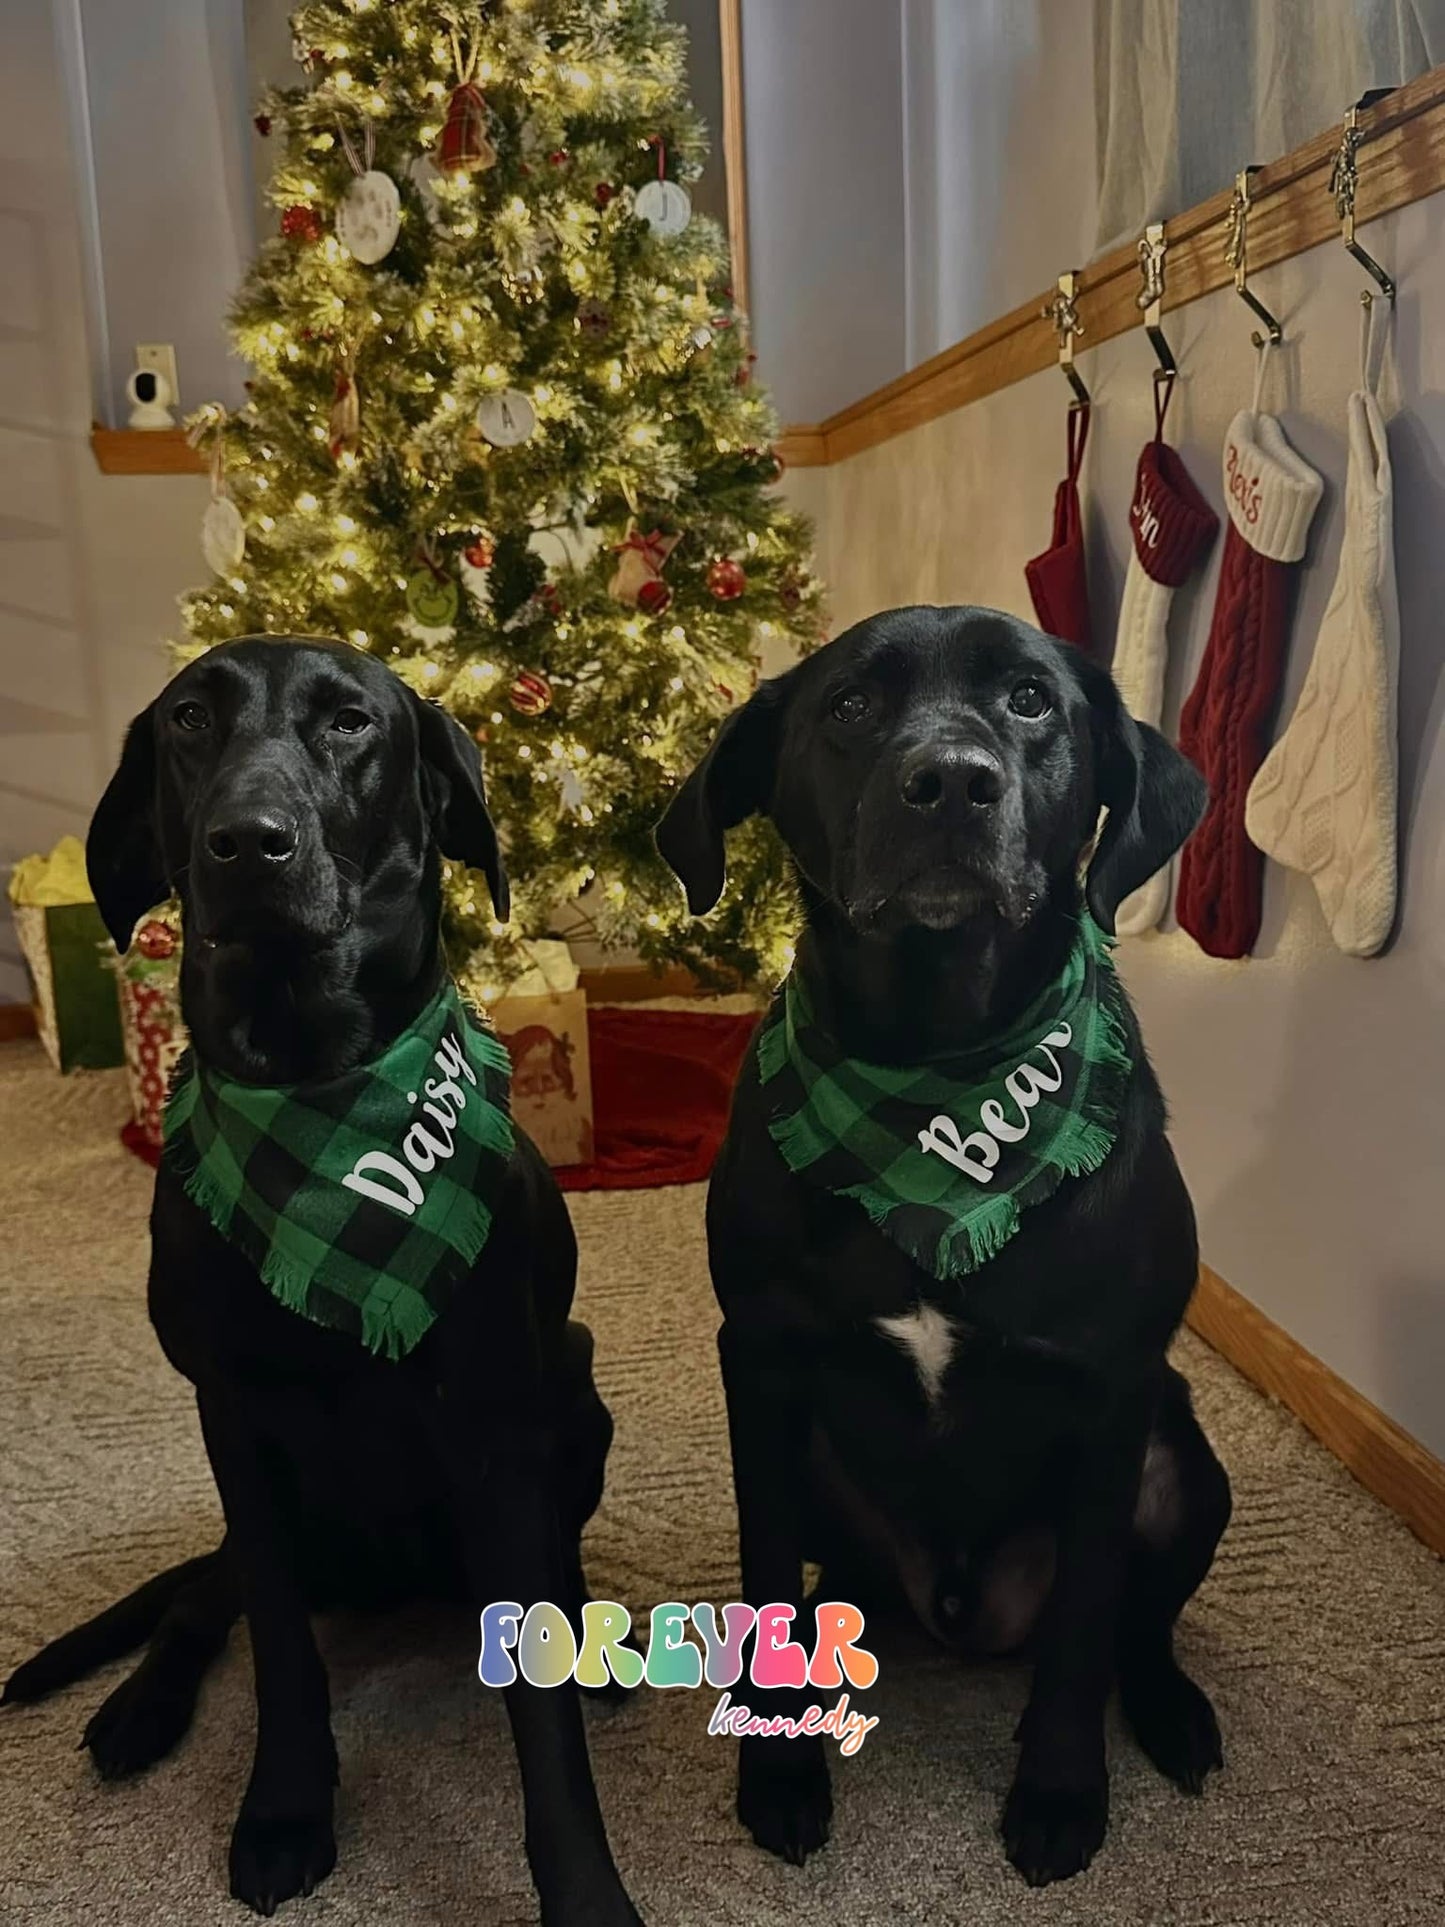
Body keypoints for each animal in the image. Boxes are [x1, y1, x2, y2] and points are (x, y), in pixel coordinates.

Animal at [2, 643, 643, 1927]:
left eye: (350, 720)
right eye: (188, 721)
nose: (247, 843)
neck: (318, 1089)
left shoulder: (494, 1428)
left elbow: (540, 1715)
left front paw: (585, 1890)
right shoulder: (234, 1422)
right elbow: (282, 1661)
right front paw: (286, 1811)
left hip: (578, 1383)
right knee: (208, 1598)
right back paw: (138, 1708)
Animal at [655, 608, 1233, 1888]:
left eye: (1030, 700)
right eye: (849, 708)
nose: (952, 783)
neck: (933, 1081)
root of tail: (966, 1609)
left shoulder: (1114, 1392)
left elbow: (1084, 1629)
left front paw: (1059, 1794)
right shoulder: (759, 1366)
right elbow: (762, 1566)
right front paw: (777, 1769)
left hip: (1183, 1468)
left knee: (1132, 1622)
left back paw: (1170, 1712)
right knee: (835, 1579)